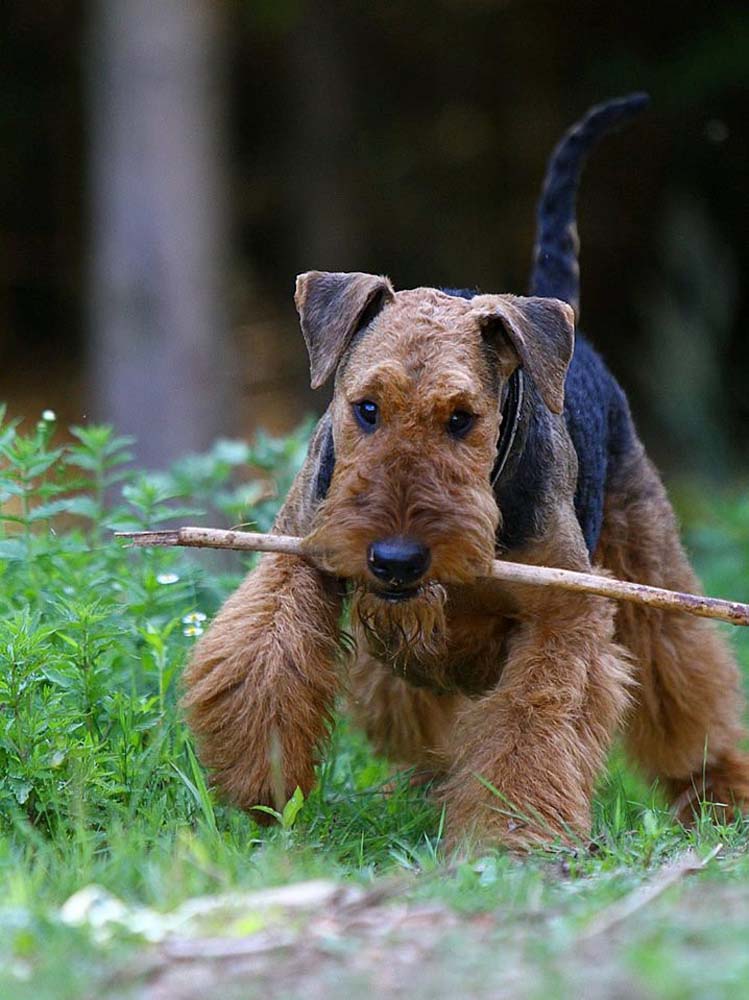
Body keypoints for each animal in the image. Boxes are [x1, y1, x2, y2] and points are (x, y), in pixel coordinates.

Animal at [181, 94, 748, 848]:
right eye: (365, 408)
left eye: (462, 418)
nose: (395, 559)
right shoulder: (302, 553)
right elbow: (264, 659)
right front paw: (260, 784)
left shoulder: (564, 612)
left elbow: (535, 720)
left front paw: (509, 832)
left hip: (647, 564)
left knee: (688, 685)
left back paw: (719, 795)